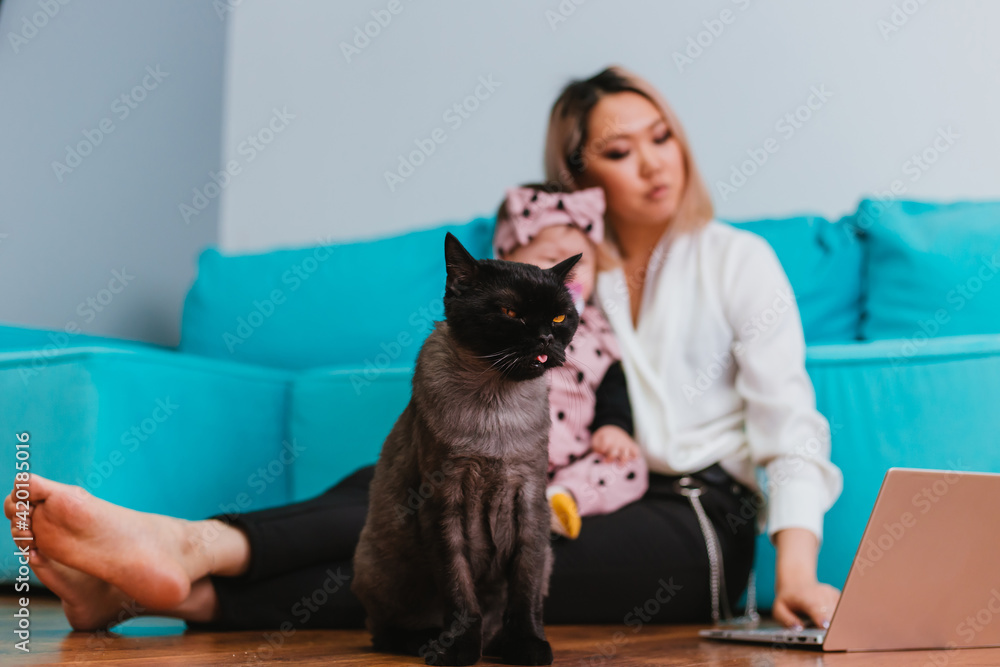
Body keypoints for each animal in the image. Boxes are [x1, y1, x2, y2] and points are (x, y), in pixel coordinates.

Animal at [354, 232, 584, 664]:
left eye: (560, 318)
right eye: (511, 313)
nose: (546, 338)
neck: (497, 404)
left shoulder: (530, 502)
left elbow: (524, 595)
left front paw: (527, 646)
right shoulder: (444, 505)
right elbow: (460, 596)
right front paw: (458, 651)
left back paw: (497, 645)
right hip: (380, 567)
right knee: (384, 632)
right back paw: (427, 642)